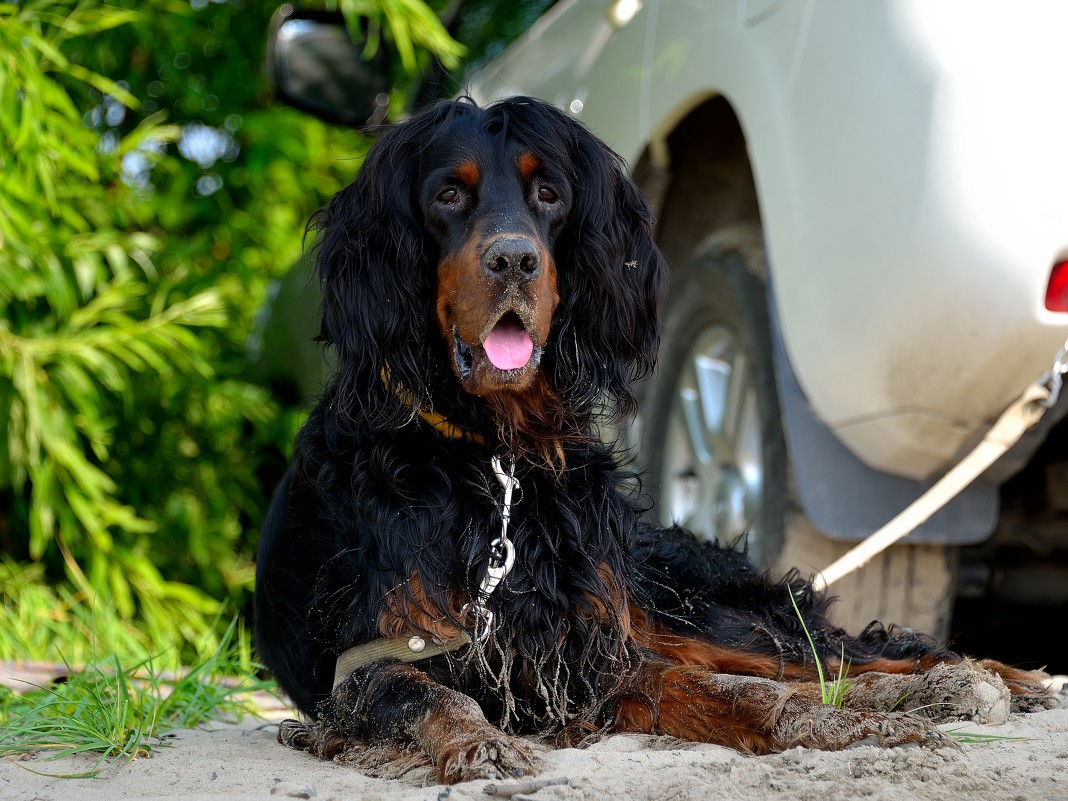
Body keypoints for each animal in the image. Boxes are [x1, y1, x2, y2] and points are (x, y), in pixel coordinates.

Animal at [256, 97, 1050, 786]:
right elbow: (426, 696)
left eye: (549, 194)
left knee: (833, 654)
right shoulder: (373, 656)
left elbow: (739, 693)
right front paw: (477, 743)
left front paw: (835, 727)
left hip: (676, 600)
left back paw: (985, 678)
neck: (497, 459)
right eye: (449, 195)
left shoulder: (593, 645)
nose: (514, 260)